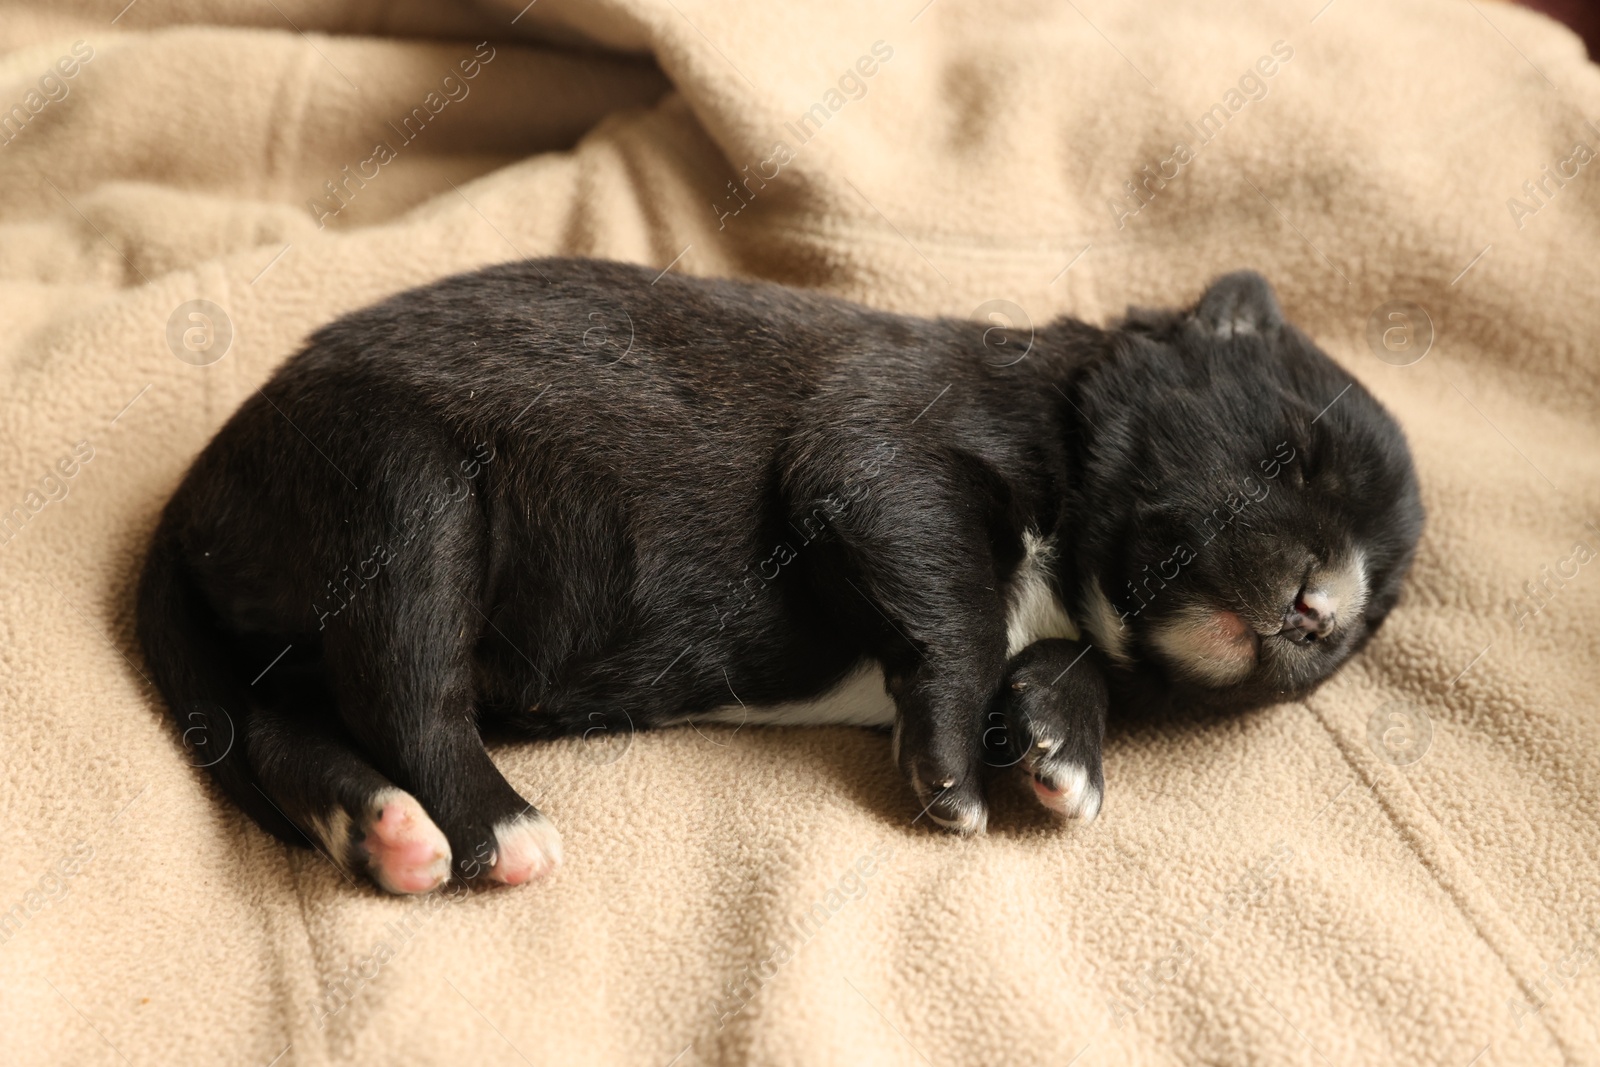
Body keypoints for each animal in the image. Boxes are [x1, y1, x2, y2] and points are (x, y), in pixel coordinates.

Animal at [131, 260, 1420, 895]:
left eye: (1379, 612)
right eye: (1288, 454)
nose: (1324, 609)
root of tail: (193, 490)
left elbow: (1058, 658)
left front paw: (1063, 751)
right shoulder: (881, 456)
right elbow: (956, 612)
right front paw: (951, 768)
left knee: (277, 723)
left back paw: (382, 829)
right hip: (405, 491)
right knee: (407, 691)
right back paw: (498, 823)